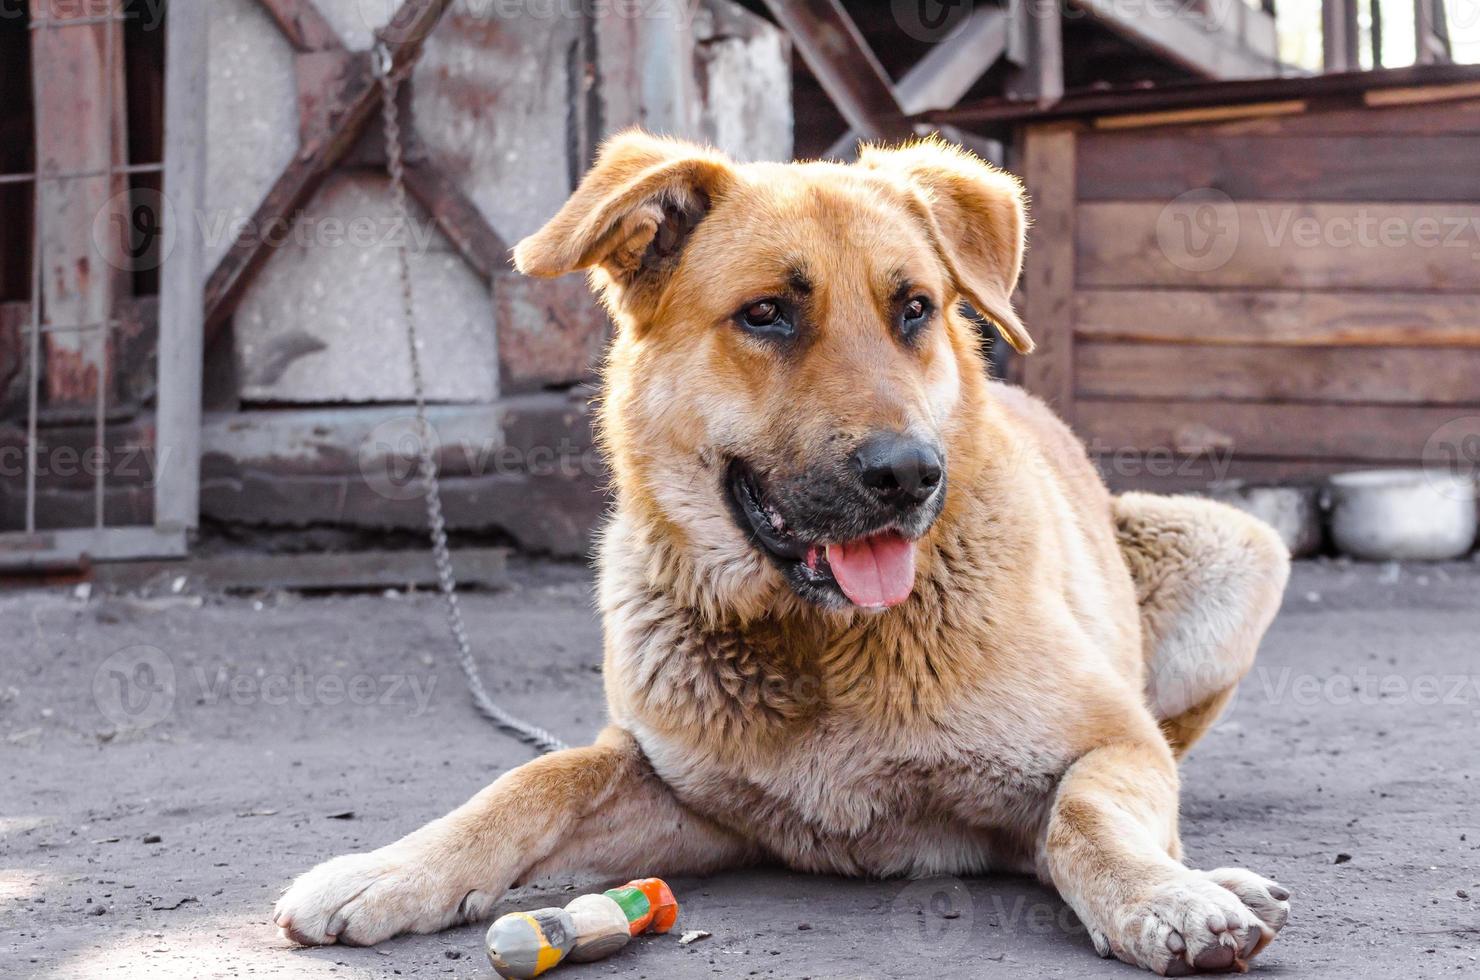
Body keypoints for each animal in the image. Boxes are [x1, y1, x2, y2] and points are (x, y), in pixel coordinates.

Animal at [272, 134, 1290, 977]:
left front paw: (1163, 896)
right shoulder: (685, 800)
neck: (818, 641)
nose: (910, 474)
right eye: (765, 314)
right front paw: (391, 870)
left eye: (914, 309)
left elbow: (1081, 819)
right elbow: (538, 777)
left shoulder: (1117, 743)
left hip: (1242, 547)